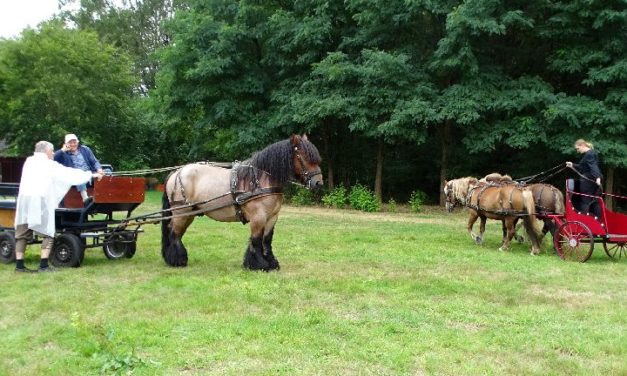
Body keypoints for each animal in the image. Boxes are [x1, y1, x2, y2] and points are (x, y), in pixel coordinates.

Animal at [159, 135, 326, 270]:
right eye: (303, 156)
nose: (318, 183)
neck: (261, 179)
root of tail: (176, 172)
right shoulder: (258, 217)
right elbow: (256, 240)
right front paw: (258, 264)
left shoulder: (272, 217)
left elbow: (267, 240)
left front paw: (271, 262)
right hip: (181, 212)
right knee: (174, 233)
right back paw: (177, 260)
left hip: (189, 214)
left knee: (176, 232)